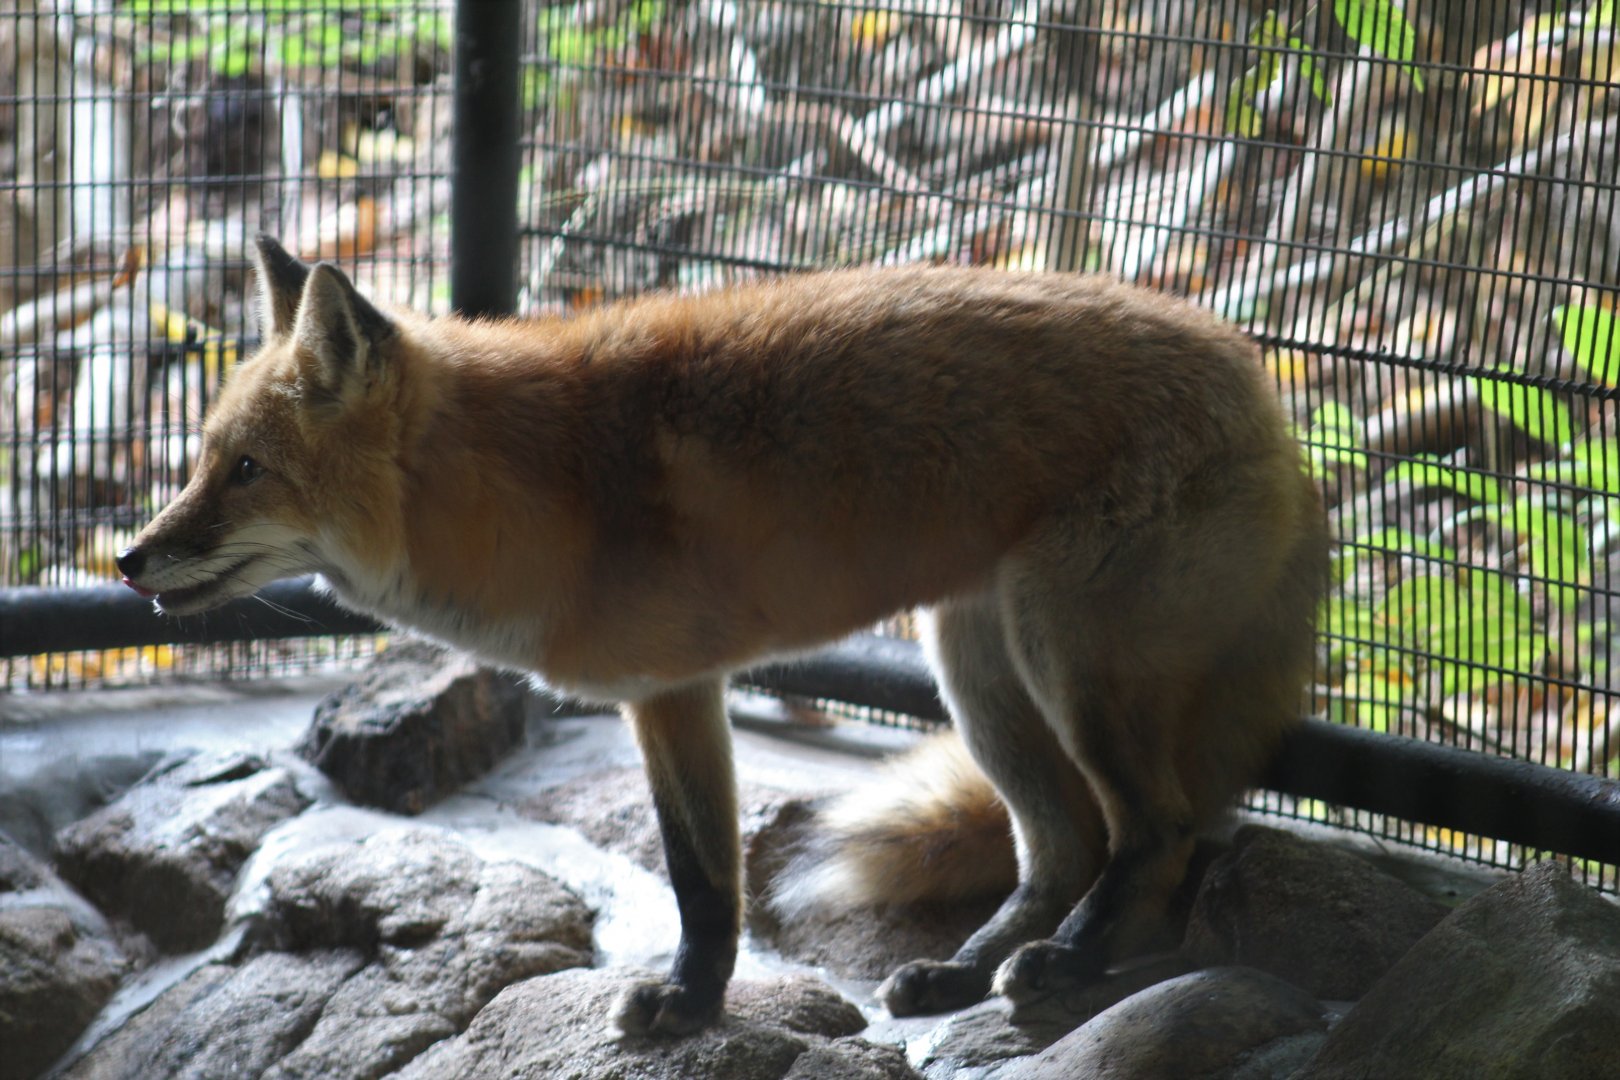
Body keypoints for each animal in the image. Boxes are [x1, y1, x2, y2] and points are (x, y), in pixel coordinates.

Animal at [119, 234, 1327, 1036]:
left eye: (245, 470)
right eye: (202, 461)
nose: (127, 560)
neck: (543, 489)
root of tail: (1265, 384)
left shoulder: (675, 687)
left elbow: (703, 879)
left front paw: (691, 1005)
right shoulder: (665, 693)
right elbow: (700, 871)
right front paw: (696, 1000)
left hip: (1068, 661)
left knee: (1157, 830)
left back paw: (1068, 966)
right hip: (977, 664)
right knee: (1064, 839)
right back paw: (967, 972)